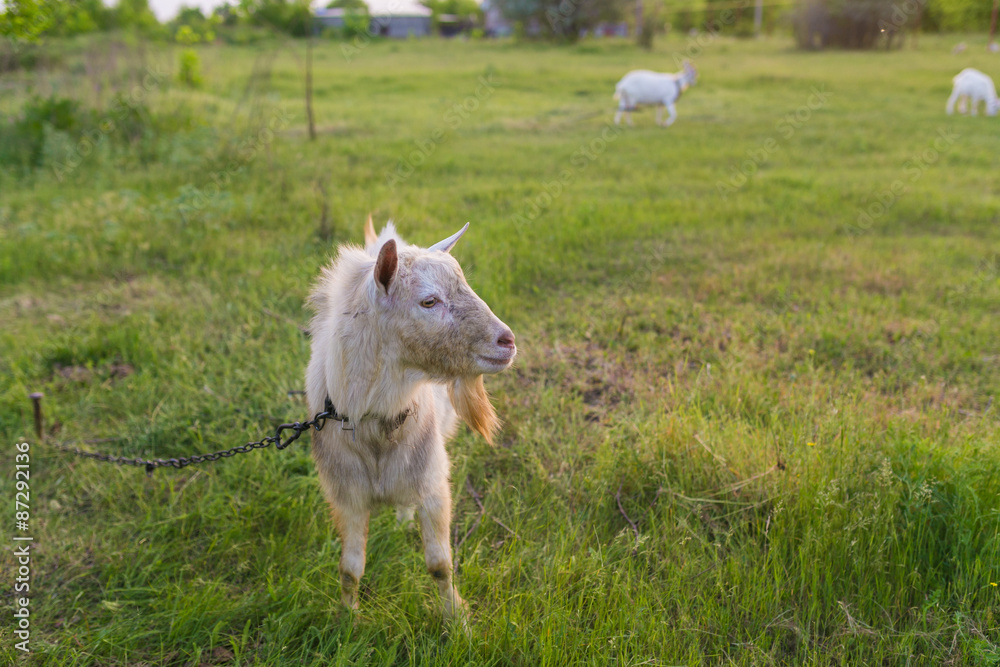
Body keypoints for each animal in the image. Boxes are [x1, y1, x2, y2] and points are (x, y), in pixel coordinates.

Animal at [305, 216, 516, 619]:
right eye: (429, 301)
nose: (507, 341)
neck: (374, 421)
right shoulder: (347, 496)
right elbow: (349, 568)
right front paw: (349, 619)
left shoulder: (433, 486)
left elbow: (439, 565)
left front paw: (457, 618)